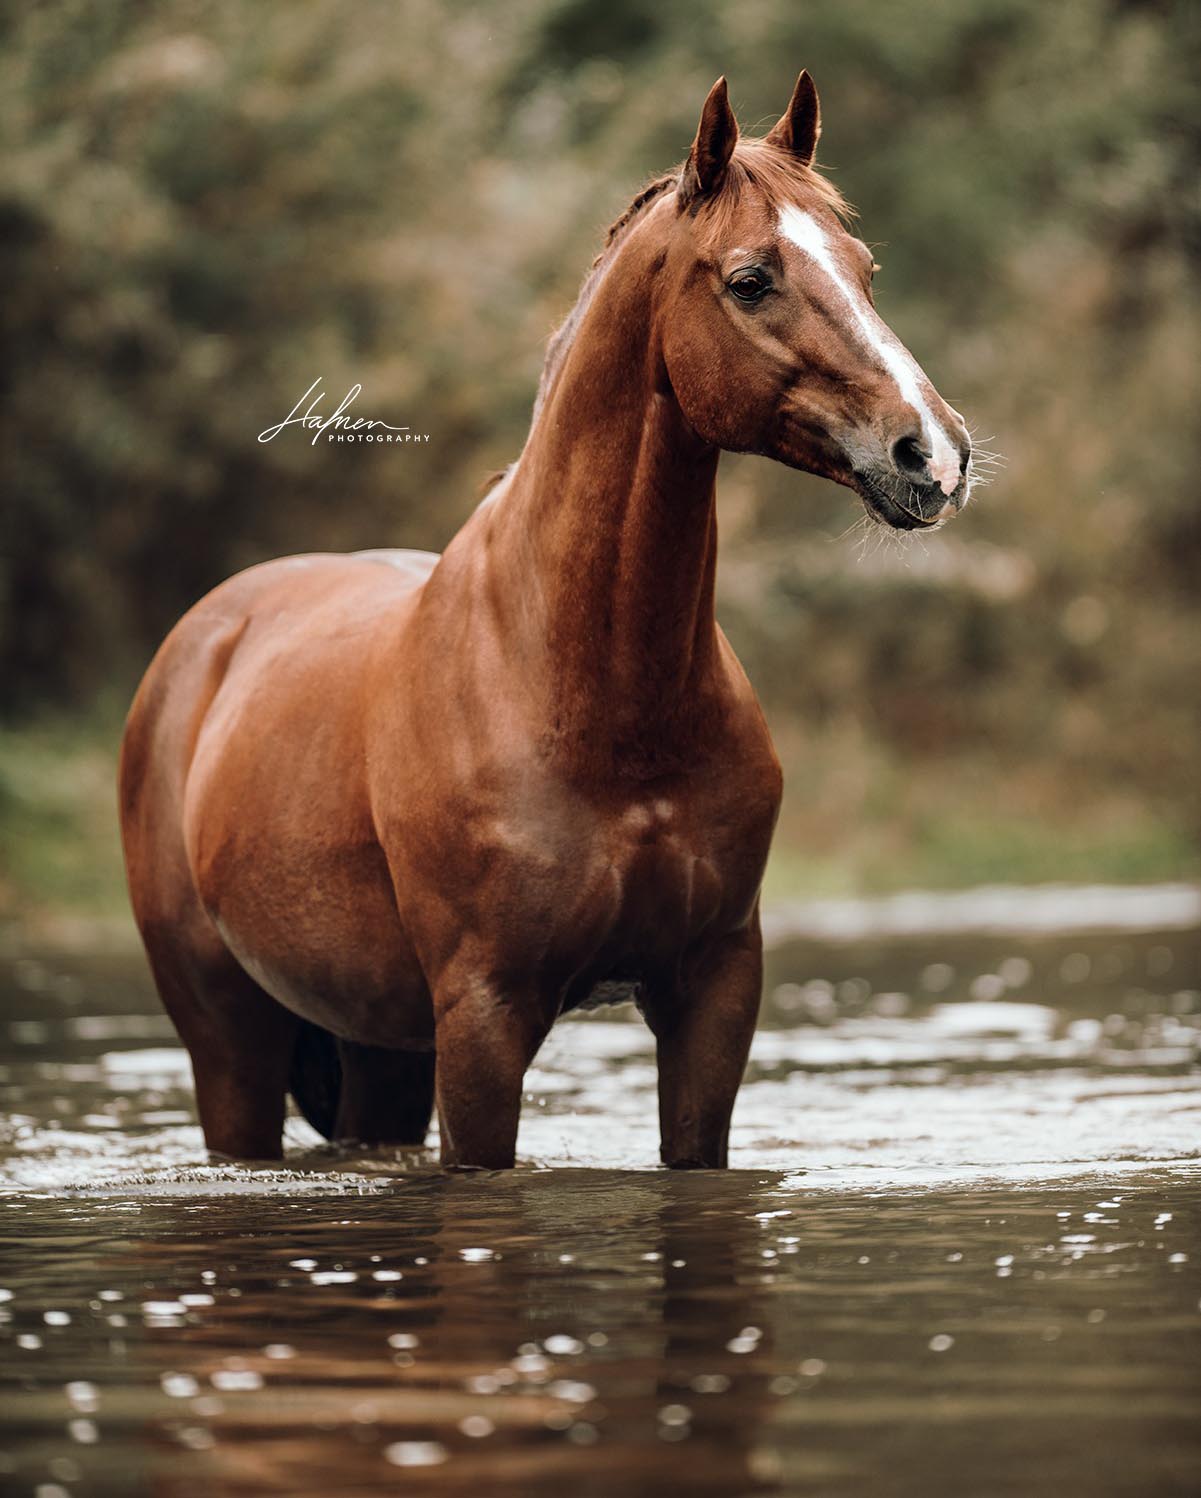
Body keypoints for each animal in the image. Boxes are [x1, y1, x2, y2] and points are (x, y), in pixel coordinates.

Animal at [116, 70, 970, 1168]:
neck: (591, 690)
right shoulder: (485, 1015)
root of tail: (207, 638)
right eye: (749, 280)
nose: (932, 455)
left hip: (382, 1045)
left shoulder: (712, 995)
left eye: (865, 271)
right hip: (230, 1041)